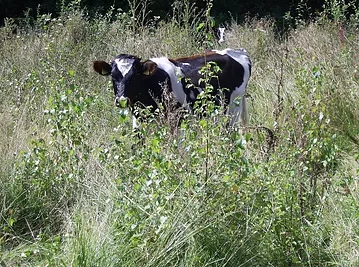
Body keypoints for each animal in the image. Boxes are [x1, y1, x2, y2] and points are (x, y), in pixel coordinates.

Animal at [94, 48, 252, 129]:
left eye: (135, 76)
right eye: (113, 76)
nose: (121, 100)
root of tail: (238, 52)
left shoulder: (177, 119)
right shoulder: (139, 121)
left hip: (232, 109)